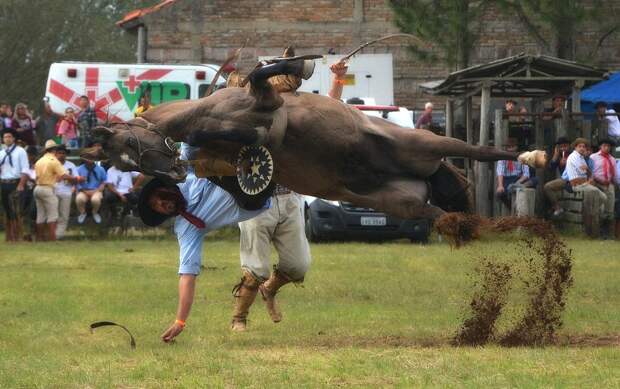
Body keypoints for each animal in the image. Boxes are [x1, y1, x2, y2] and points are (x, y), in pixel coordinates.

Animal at [91, 56, 544, 221]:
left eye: (129, 146)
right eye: (123, 162)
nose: (173, 172)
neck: (205, 108)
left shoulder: (267, 101)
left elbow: (264, 77)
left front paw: (302, 65)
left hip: (428, 145)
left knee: (481, 150)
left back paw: (532, 156)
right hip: (406, 203)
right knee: (452, 212)